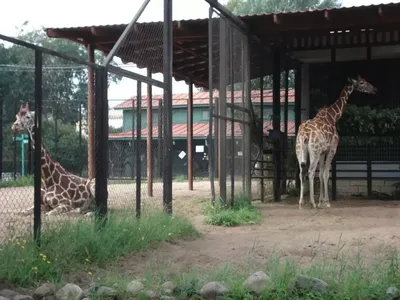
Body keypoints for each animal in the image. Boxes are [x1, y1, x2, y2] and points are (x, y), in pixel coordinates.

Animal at [296, 75, 378, 210]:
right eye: (362, 82)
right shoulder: (332, 149)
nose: (374, 89)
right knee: (310, 172)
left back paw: (301, 203)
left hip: (300, 151)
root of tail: (304, 134)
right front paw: (327, 202)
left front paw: (321, 201)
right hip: (314, 152)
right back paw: (312, 203)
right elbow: (325, 174)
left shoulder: (323, 151)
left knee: (301, 172)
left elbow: (321, 173)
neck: (333, 116)